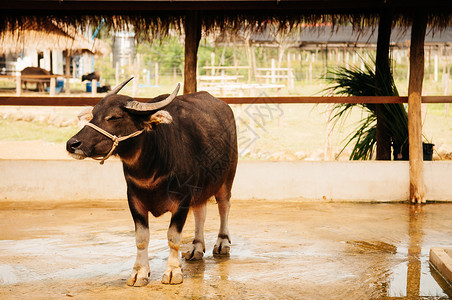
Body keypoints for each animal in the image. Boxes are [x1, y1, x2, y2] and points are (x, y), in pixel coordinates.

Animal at [66, 77, 238, 286]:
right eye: (92, 115)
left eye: (114, 117)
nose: (72, 144)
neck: (152, 167)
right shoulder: (134, 200)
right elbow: (141, 238)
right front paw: (139, 272)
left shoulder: (182, 200)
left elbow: (173, 237)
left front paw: (173, 271)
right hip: (200, 188)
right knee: (200, 213)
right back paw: (196, 247)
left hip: (227, 178)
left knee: (224, 206)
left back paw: (222, 243)